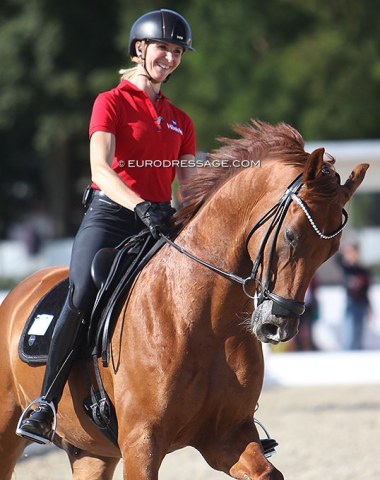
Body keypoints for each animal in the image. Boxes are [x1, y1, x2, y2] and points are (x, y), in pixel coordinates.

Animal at [0, 122, 368, 478]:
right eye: (291, 235)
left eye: (331, 251)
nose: (278, 325)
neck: (202, 318)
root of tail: (17, 294)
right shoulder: (142, 441)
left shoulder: (227, 435)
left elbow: (267, 473)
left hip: (92, 453)